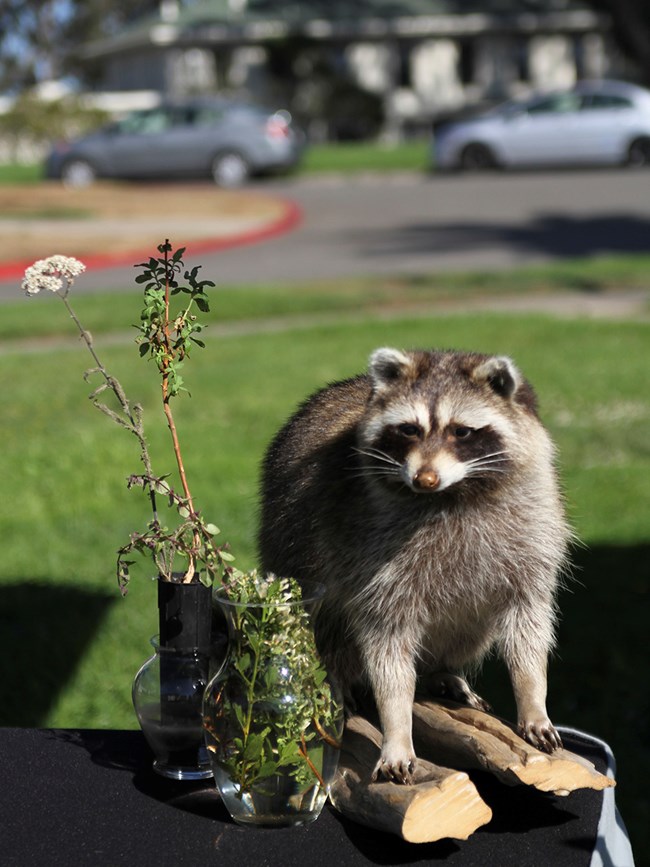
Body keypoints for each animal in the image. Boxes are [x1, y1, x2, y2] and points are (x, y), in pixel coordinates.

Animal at [256, 350, 568, 784]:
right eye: (408, 430)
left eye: (462, 432)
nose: (425, 478)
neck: (453, 495)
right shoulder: (367, 550)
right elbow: (386, 646)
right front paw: (396, 729)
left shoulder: (533, 530)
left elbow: (529, 626)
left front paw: (533, 696)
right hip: (290, 543)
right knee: (327, 618)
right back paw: (339, 675)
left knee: (471, 629)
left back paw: (441, 669)